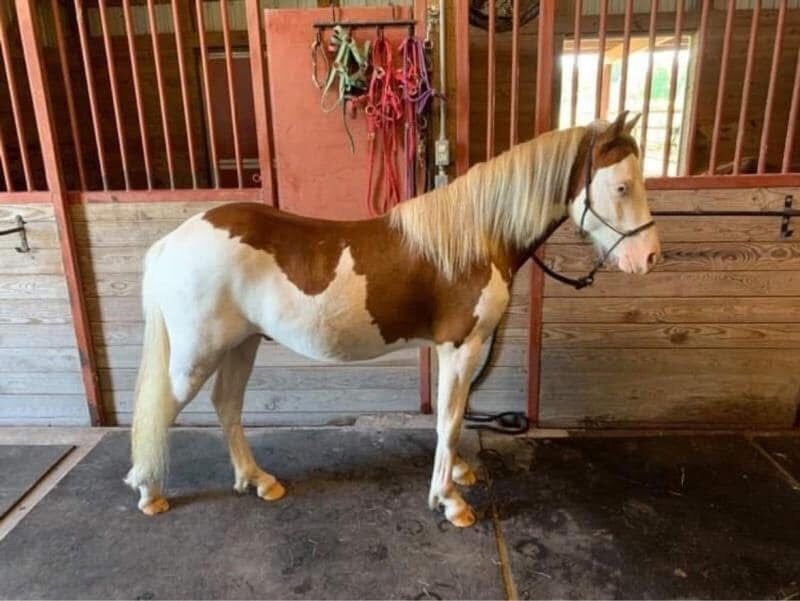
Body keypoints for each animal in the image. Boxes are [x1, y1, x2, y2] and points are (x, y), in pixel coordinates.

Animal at [124, 111, 661, 528]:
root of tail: (172, 241)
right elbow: (450, 421)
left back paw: (258, 481)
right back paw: (149, 492)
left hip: (243, 344)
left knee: (227, 407)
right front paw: (450, 501)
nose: (650, 258)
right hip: (197, 355)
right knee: (161, 410)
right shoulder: (461, 347)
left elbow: (451, 416)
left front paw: (456, 475)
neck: (475, 237)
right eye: (621, 185)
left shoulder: (450, 351)